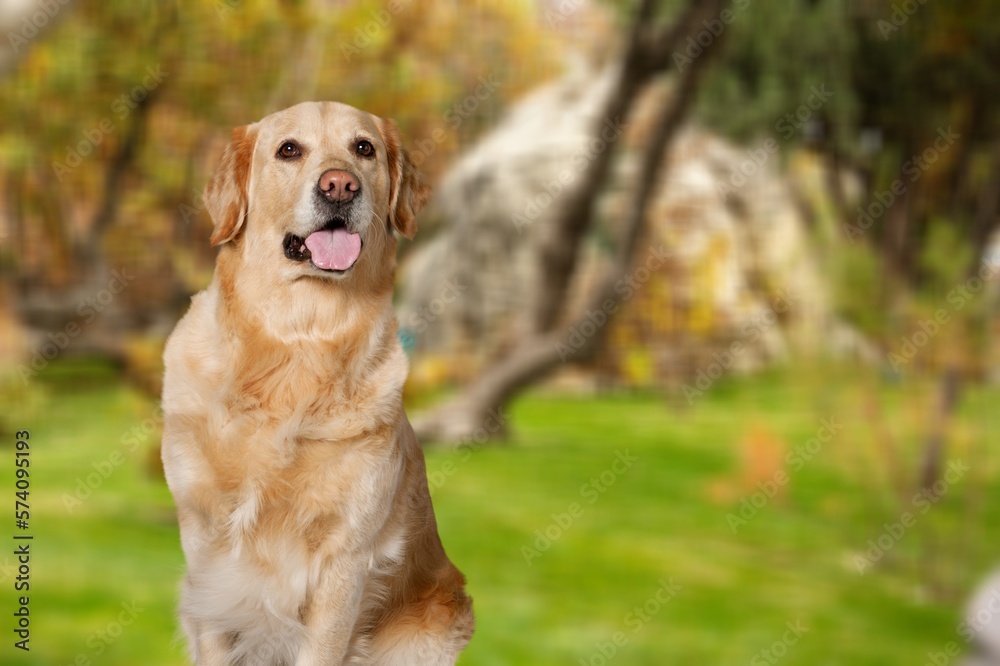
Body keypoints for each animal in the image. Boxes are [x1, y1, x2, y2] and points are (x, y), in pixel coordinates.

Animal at [162, 100, 474, 664]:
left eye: (363, 148)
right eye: (289, 149)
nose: (340, 186)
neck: (298, 344)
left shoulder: (345, 557)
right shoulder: (207, 548)